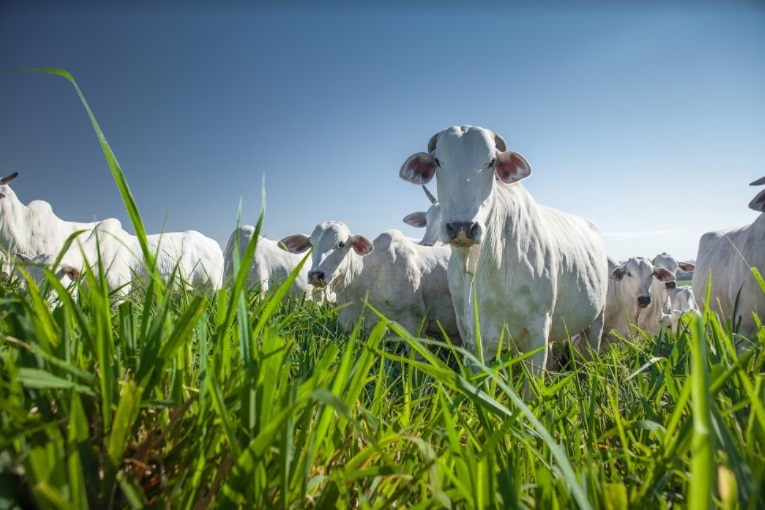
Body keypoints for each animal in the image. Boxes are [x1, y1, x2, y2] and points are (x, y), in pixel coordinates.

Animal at [396, 124, 604, 370]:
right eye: (438, 161)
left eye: (491, 162)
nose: (462, 227)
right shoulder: (471, 338)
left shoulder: (538, 332)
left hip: (597, 320)